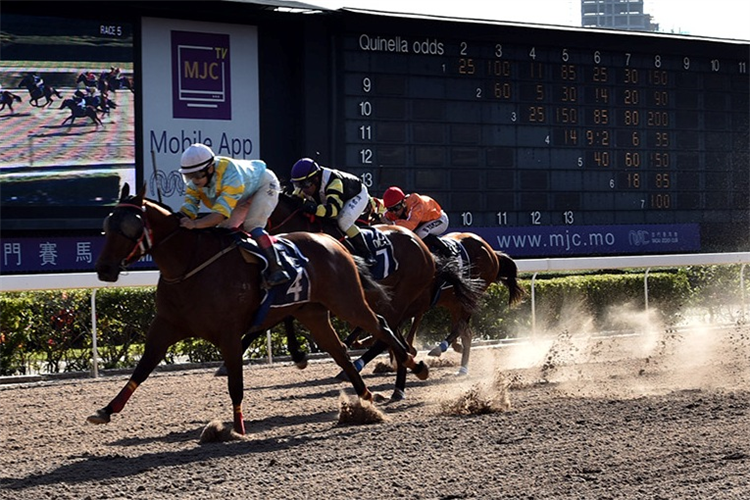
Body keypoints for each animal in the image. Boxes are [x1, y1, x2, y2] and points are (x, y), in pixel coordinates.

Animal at [88, 184, 428, 434]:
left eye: (129, 227)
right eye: (107, 225)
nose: (104, 268)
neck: (189, 263)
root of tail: (334, 243)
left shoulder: (228, 331)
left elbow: (236, 381)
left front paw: (237, 429)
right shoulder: (166, 325)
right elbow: (142, 368)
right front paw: (106, 410)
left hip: (349, 300)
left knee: (382, 327)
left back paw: (412, 368)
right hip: (315, 312)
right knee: (341, 350)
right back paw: (368, 398)